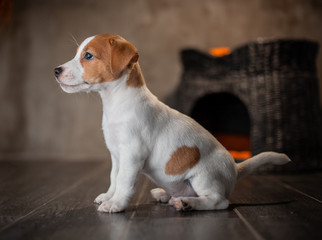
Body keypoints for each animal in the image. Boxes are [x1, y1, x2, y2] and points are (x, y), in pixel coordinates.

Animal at [54, 32, 290, 213]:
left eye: (88, 56)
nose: (56, 70)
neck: (117, 102)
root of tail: (235, 167)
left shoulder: (132, 154)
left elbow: (124, 181)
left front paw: (116, 204)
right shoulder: (116, 154)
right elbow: (114, 177)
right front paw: (108, 196)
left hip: (203, 176)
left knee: (219, 201)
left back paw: (187, 203)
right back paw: (165, 194)